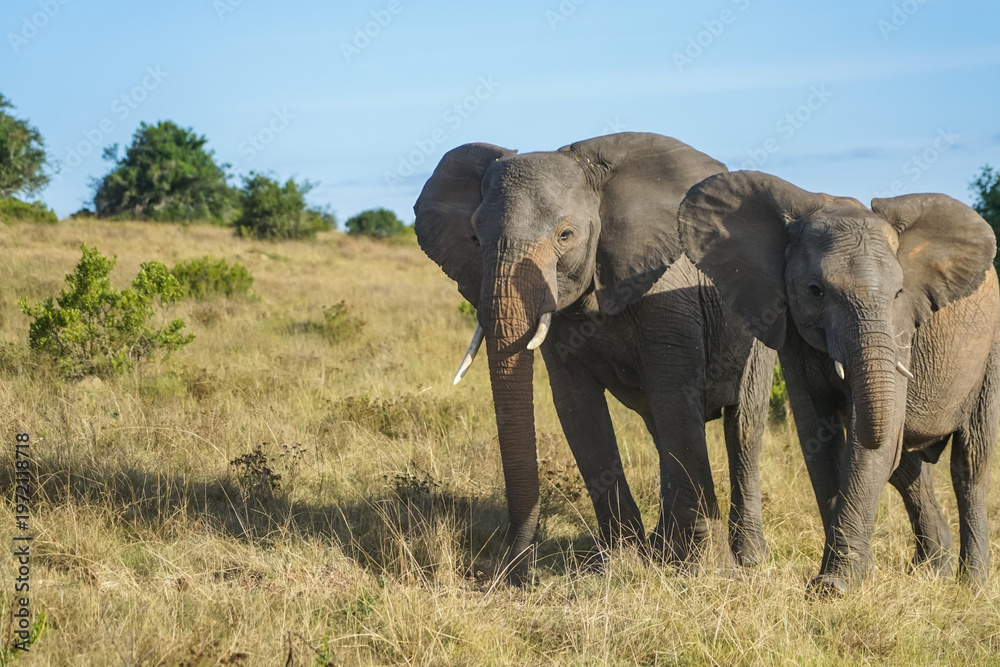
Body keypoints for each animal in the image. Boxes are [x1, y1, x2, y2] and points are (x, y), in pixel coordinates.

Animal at [414, 132, 777, 583]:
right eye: (476, 239)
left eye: (566, 235)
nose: (517, 571)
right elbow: (577, 408)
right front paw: (619, 563)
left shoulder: (668, 292)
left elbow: (675, 396)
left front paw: (704, 572)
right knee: (661, 430)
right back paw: (662, 550)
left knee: (742, 427)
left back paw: (748, 560)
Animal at [678, 170, 1000, 592]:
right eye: (815, 291)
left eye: (899, 292)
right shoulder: (792, 330)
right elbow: (819, 436)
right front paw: (841, 578)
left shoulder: (900, 332)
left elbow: (872, 442)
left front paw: (837, 584)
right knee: (909, 469)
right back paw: (933, 572)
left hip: (990, 352)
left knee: (969, 462)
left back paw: (972, 584)